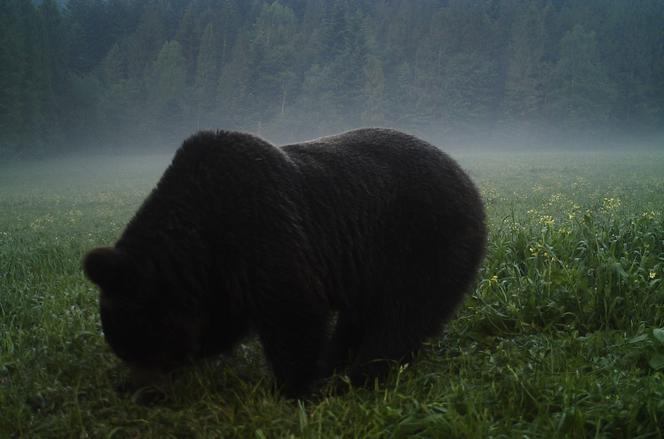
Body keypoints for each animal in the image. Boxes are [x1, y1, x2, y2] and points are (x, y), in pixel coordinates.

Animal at [84, 127, 488, 398]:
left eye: (139, 344)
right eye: (126, 347)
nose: (138, 389)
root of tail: (469, 181)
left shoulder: (262, 225)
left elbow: (293, 310)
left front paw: (292, 388)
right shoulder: (221, 273)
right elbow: (224, 320)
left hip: (423, 239)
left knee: (400, 317)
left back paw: (359, 377)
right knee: (361, 318)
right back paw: (337, 364)